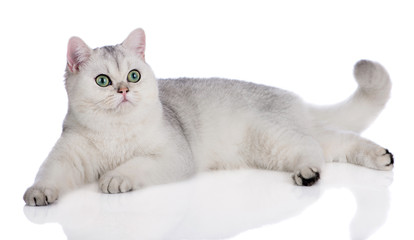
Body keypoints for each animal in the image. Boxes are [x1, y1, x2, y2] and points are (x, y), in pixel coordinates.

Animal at [23, 27, 394, 204]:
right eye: (102, 81)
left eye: (133, 75)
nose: (124, 91)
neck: (115, 133)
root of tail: (293, 99)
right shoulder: (66, 157)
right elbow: (48, 174)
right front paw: (39, 193)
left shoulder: (172, 155)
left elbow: (134, 165)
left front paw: (115, 178)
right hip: (280, 138)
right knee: (335, 141)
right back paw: (381, 156)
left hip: (272, 138)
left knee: (313, 148)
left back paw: (308, 174)